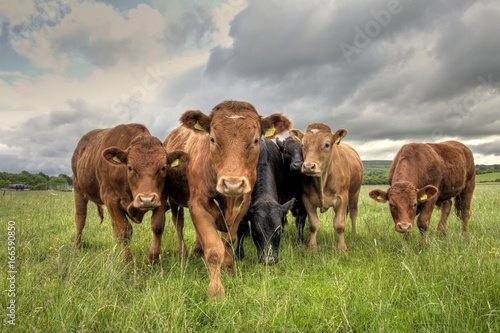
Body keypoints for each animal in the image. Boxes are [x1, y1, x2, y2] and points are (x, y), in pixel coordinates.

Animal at [71, 123, 187, 264]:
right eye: (130, 167)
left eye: (163, 167)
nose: (146, 199)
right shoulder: (111, 199)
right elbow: (124, 231)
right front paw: (127, 261)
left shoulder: (161, 198)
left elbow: (157, 227)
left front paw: (152, 260)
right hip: (78, 188)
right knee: (80, 218)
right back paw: (76, 247)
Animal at [164, 100, 292, 296]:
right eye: (213, 139)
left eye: (255, 140)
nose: (232, 184)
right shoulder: (198, 206)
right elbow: (214, 250)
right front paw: (216, 290)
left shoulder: (242, 207)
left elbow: (229, 241)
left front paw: (229, 269)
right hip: (174, 202)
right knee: (178, 225)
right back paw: (183, 254)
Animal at [290, 122, 364, 252]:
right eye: (302, 144)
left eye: (327, 144)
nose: (308, 166)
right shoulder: (307, 199)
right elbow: (313, 224)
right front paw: (312, 247)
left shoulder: (342, 198)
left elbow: (339, 224)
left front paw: (342, 248)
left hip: (355, 193)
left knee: (353, 213)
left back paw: (354, 234)